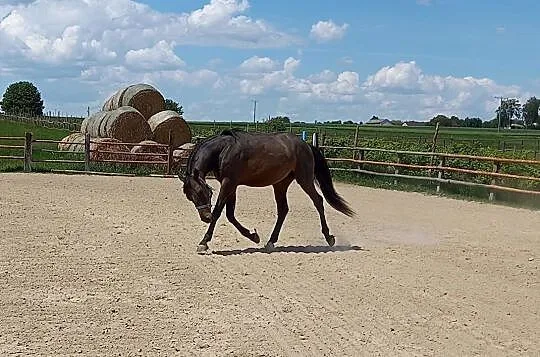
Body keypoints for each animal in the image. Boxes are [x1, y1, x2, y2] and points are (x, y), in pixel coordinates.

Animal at [177, 129, 354, 253]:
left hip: (304, 179)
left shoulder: (229, 183)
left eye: (204, 192)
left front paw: (204, 242)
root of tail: (306, 145)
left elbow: (219, 211)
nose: (205, 217)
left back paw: (329, 238)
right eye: (190, 197)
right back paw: (270, 242)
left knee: (318, 201)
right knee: (283, 209)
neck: (223, 150)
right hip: (280, 184)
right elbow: (230, 214)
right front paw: (253, 236)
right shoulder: (230, 185)